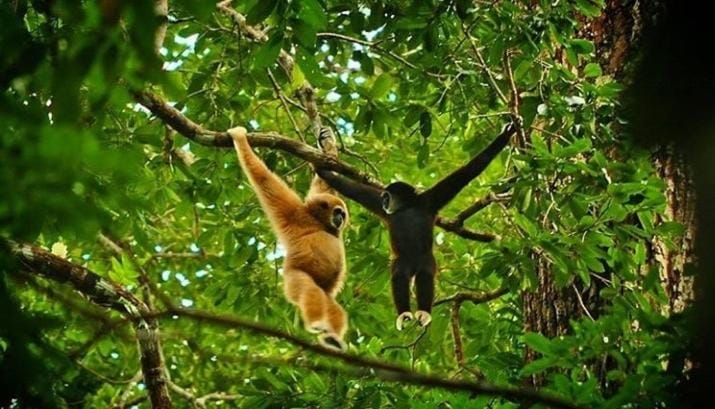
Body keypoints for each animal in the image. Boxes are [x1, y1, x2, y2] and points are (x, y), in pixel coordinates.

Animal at [228, 126, 349, 350]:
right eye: (337, 212)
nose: (340, 218)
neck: (319, 223)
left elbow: (324, 183)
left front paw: (326, 140)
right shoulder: (295, 214)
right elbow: (265, 180)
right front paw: (240, 138)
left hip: (323, 291)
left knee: (333, 308)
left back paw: (332, 337)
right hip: (294, 277)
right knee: (310, 291)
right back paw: (317, 323)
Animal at [317, 123, 516, 330]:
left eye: (387, 196)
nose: (384, 201)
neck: (407, 207)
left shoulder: (429, 200)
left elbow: (468, 171)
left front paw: (505, 136)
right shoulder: (385, 209)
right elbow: (353, 189)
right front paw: (325, 171)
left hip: (425, 258)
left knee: (425, 275)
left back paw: (423, 312)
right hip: (403, 260)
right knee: (399, 276)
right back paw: (405, 313)